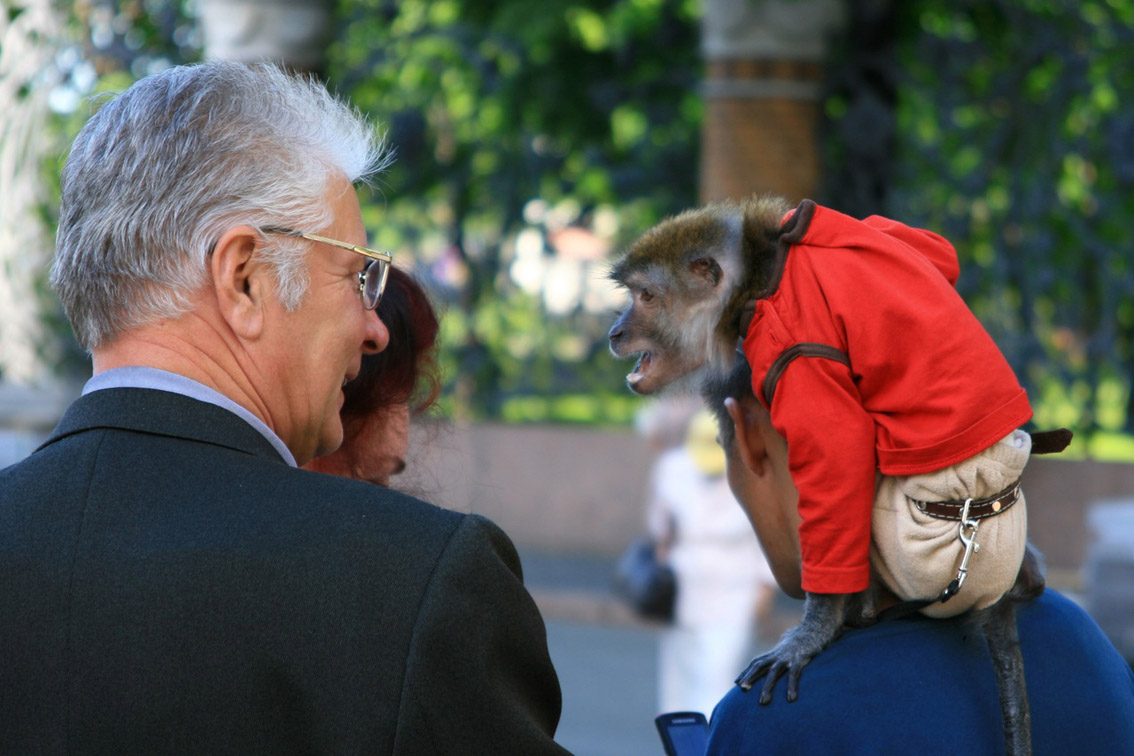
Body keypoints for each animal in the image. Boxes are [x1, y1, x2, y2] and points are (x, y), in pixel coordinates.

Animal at [607, 194, 1065, 756]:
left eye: (647, 297)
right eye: (633, 296)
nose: (615, 333)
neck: (759, 271)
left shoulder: (791, 349)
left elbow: (838, 450)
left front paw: (815, 629)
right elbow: (931, 250)